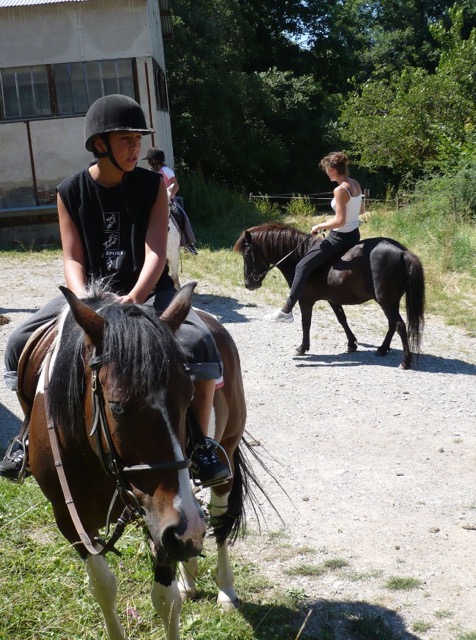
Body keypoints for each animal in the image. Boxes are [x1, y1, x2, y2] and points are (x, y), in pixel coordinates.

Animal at [17, 282, 249, 640]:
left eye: (189, 397)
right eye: (117, 406)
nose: (186, 531)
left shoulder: (160, 519)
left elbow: (165, 600)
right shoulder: (69, 520)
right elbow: (102, 587)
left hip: (225, 455)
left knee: (220, 520)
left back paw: (224, 588)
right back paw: (191, 573)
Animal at [233, 222, 424, 368]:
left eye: (246, 254)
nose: (248, 284)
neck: (299, 255)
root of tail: (402, 252)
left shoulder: (305, 300)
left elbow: (306, 323)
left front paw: (302, 347)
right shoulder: (333, 299)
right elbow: (342, 319)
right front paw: (352, 343)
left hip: (386, 301)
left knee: (399, 325)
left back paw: (405, 362)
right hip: (390, 301)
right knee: (393, 324)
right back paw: (383, 349)